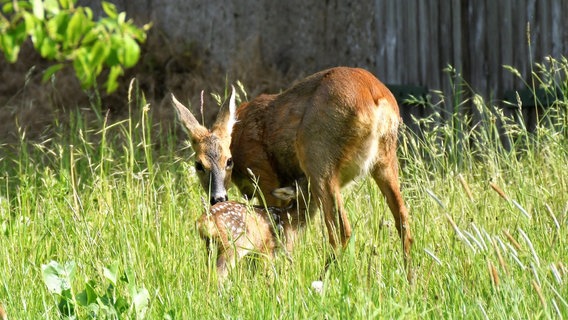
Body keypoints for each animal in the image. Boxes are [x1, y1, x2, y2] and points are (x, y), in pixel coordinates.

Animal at [173, 68, 412, 280]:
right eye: (199, 165)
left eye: (228, 161)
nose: (218, 197)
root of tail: (375, 97)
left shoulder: (266, 177)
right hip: (385, 160)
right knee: (404, 222)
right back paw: (410, 281)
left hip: (317, 159)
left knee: (341, 230)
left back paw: (323, 279)